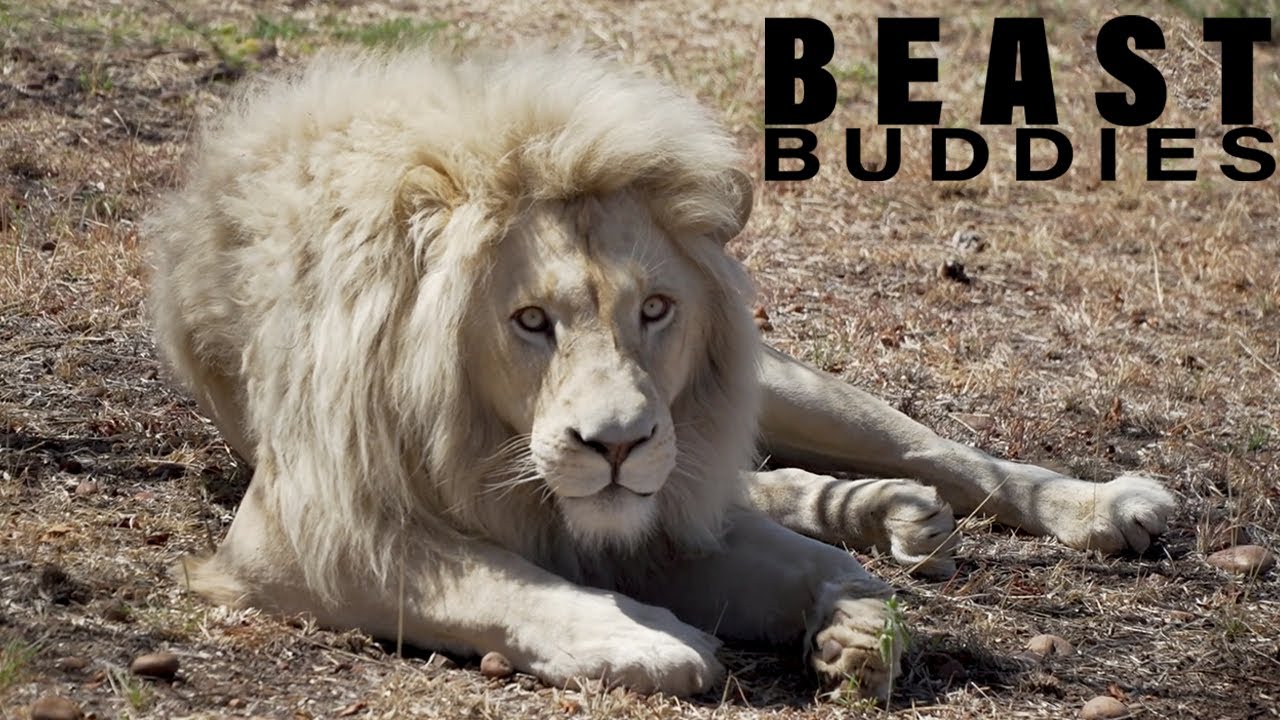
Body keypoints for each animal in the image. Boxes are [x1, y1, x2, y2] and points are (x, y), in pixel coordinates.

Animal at [145, 47, 1176, 701]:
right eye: (531, 321)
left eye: (654, 310)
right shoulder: (308, 528)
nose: (618, 445)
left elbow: (811, 563)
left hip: (782, 391)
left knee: (936, 453)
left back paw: (1097, 506)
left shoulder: (665, 505)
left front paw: (856, 624)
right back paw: (888, 513)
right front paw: (654, 639)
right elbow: (488, 582)